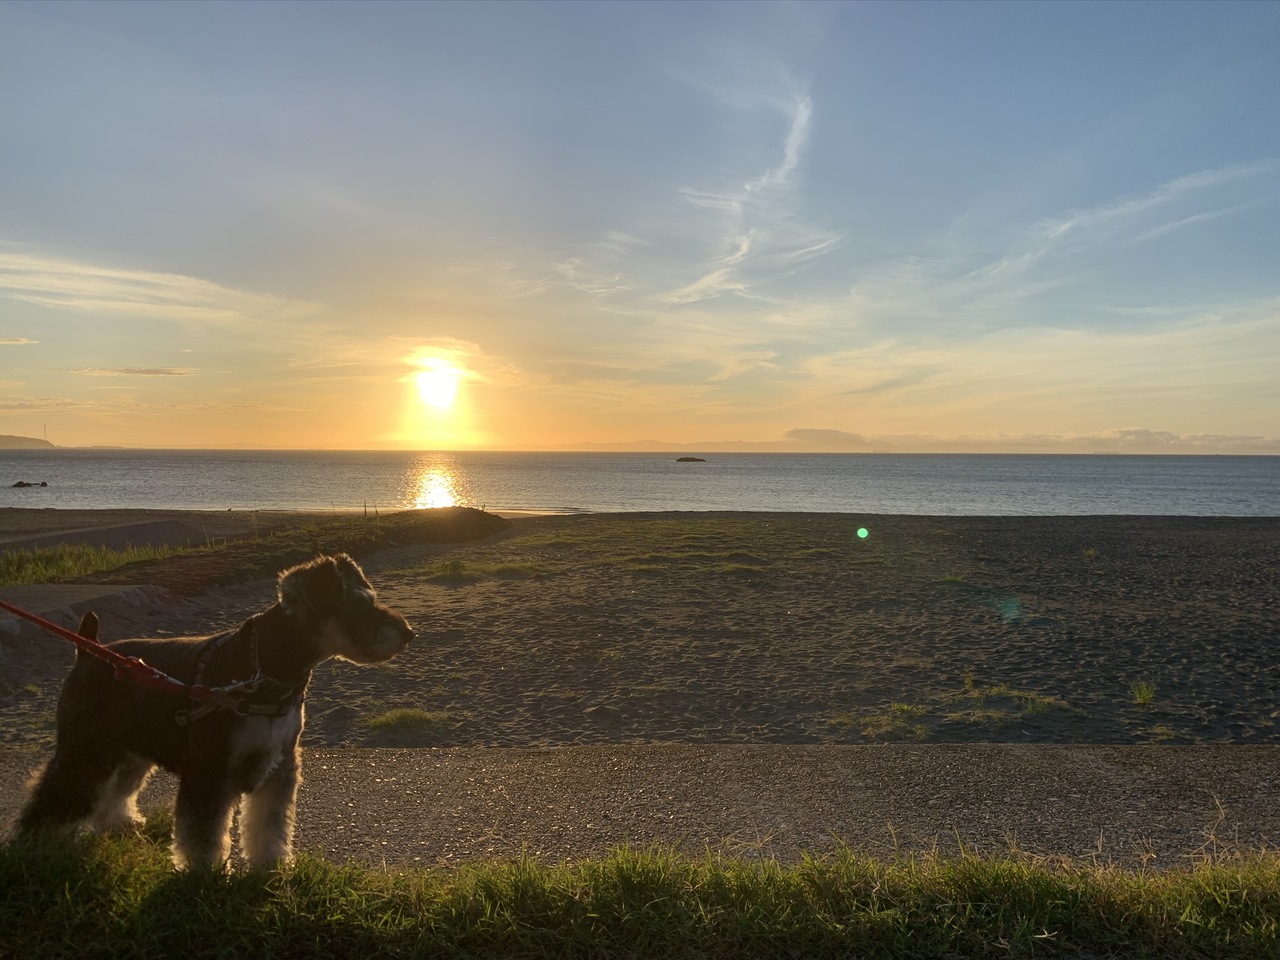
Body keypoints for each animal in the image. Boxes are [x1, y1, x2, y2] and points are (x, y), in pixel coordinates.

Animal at [17, 547, 412, 870]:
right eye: (357, 604)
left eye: (371, 597)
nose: (408, 633)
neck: (268, 670)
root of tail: (87, 652)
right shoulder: (211, 770)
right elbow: (203, 833)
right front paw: (204, 875)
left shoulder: (280, 765)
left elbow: (269, 824)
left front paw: (271, 865)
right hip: (86, 747)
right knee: (52, 795)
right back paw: (34, 847)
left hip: (130, 751)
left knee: (114, 790)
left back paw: (119, 824)